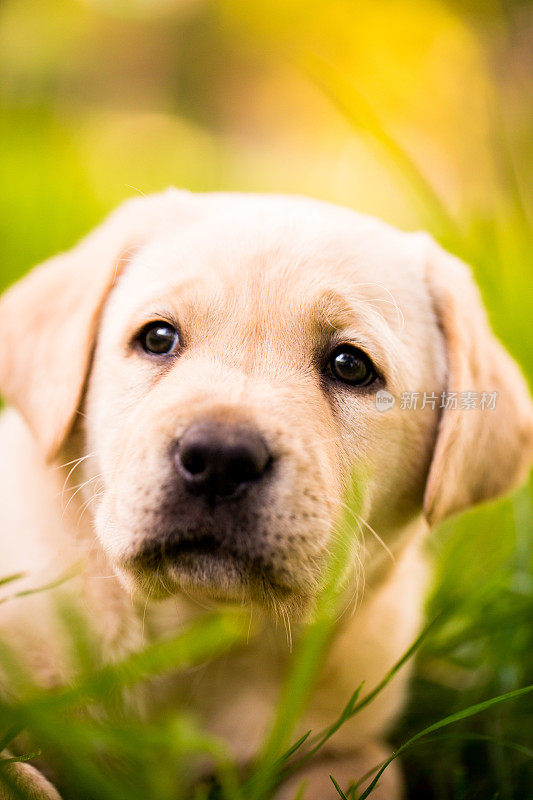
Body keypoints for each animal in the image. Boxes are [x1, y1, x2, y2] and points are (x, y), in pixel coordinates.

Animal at [1, 191, 532, 796]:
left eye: (350, 365)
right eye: (157, 338)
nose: (219, 459)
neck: (200, 636)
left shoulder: (350, 746)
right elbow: (23, 776)